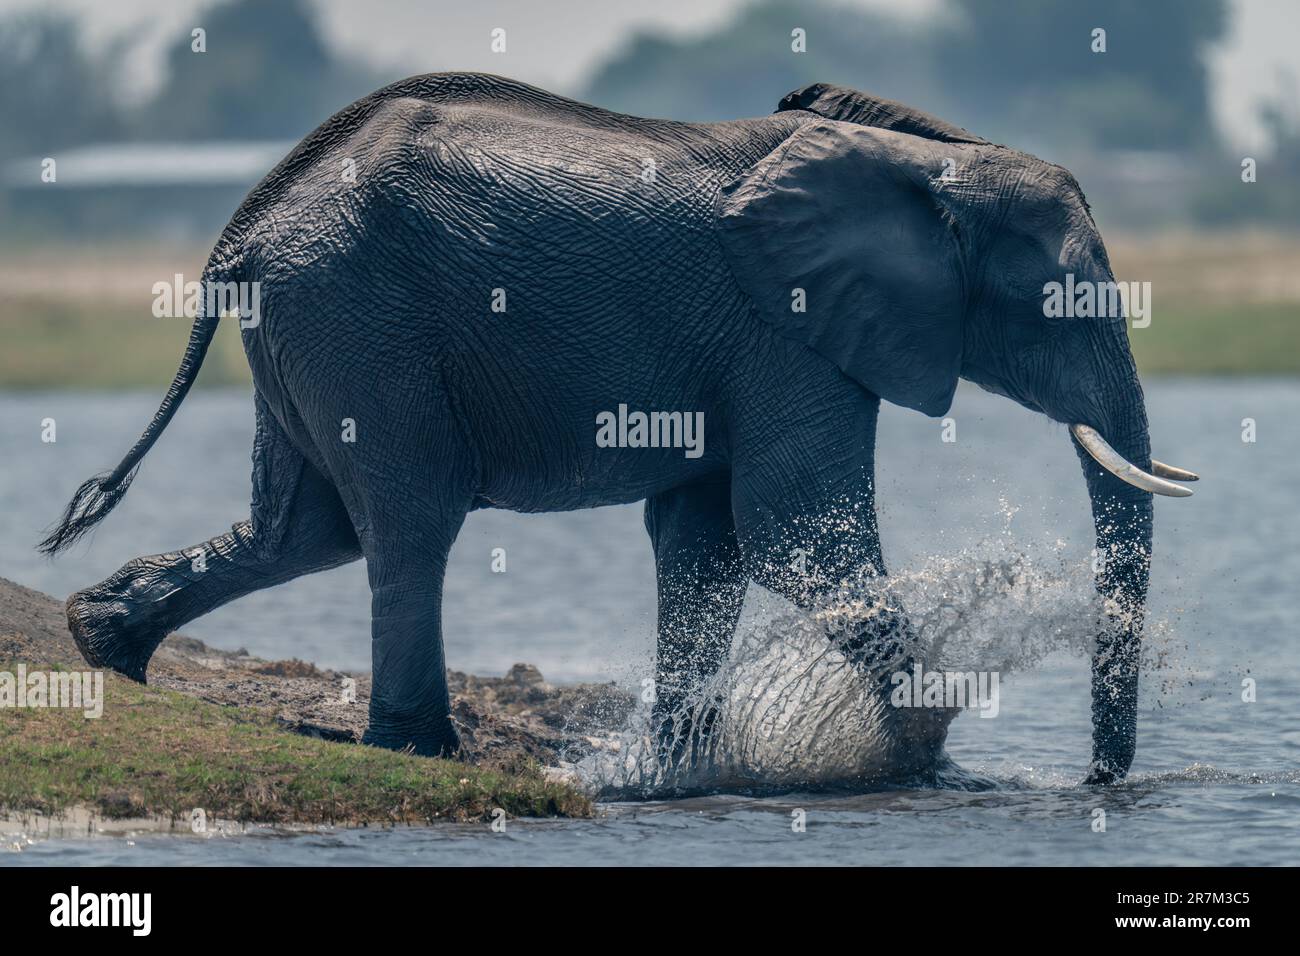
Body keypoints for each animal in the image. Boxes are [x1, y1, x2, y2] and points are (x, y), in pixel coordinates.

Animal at [42, 73, 1196, 784]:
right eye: (1064, 299)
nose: (1095, 778)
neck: (917, 158)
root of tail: (241, 228)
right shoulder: (787, 333)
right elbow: (793, 527)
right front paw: (927, 761)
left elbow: (708, 544)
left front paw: (682, 774)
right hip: (359, 321)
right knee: (407, 523)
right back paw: (425, 754)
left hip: (310, 328)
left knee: (304, 527)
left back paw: (102, 640)